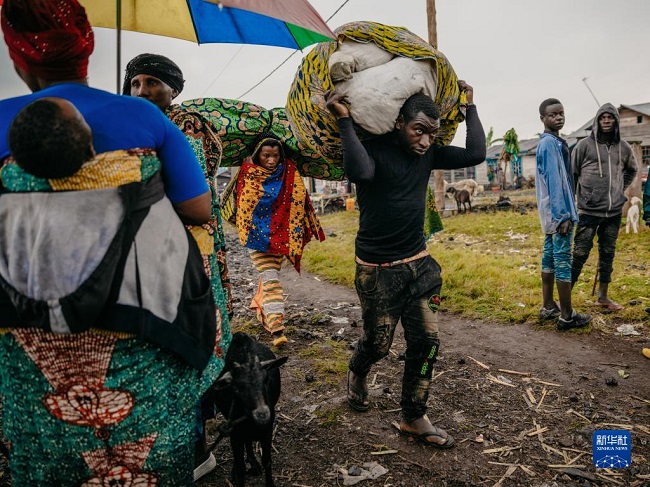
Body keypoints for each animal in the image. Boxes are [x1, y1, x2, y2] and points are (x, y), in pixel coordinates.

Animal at [213, 334, 286, 487]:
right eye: (236, 387)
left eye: (266, 379)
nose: (262, 414)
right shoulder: (234, 432)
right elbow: (241, 468)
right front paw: (238, 472)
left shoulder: (267, 431)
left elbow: (267, 461)